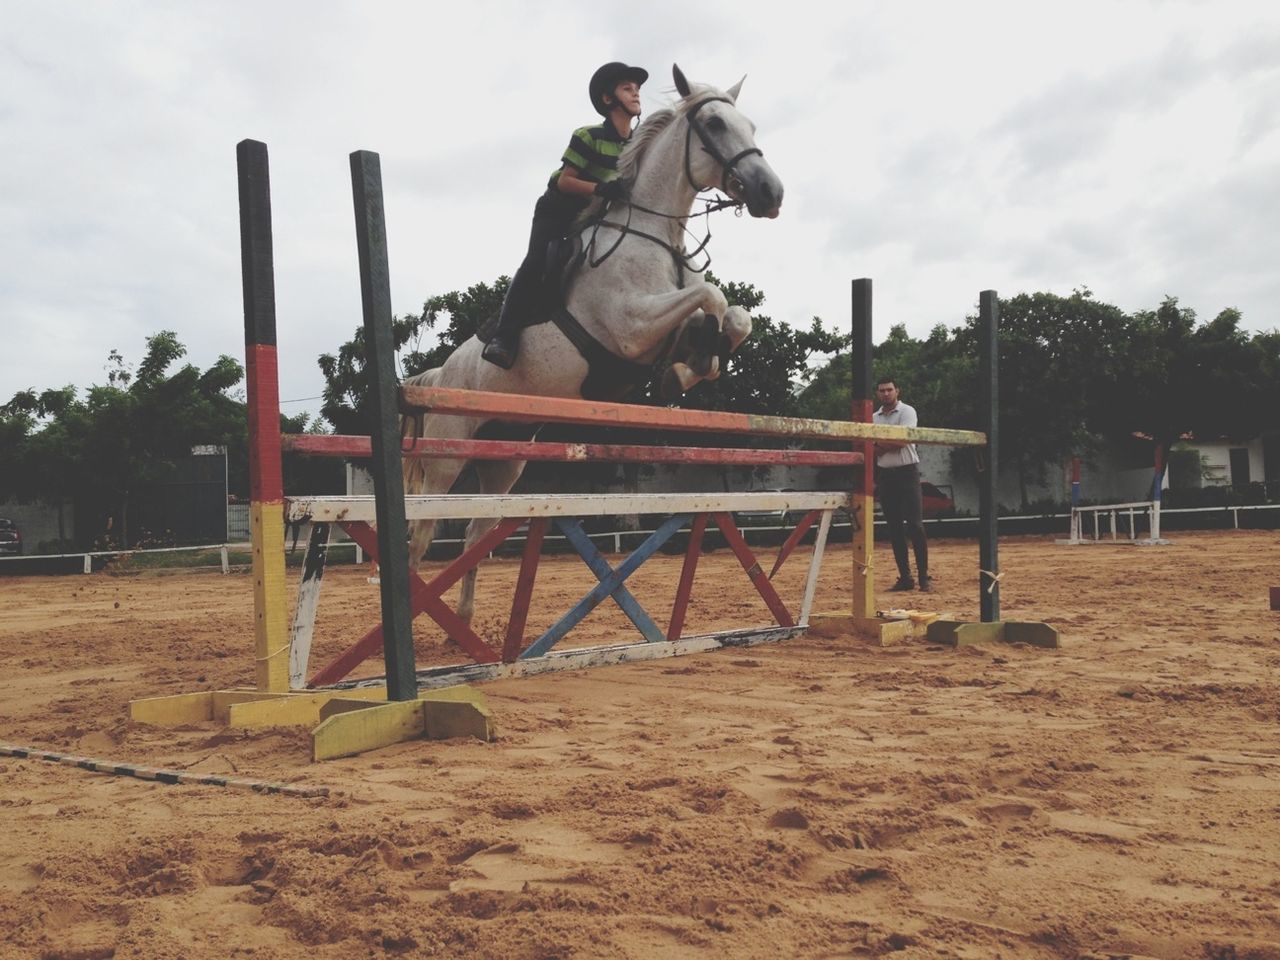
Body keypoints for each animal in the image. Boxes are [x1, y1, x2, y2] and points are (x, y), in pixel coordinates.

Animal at [401, 65, 778, 624]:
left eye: (750, 124)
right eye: (713, 123)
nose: (770, 193)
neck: (655, 234)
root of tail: (439, 375)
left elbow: (733, 314)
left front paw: (690, 366)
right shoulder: (630, 327)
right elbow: (710, 295)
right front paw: (688, 367)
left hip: (504, 460)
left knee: (474, 533)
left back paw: (464, 622)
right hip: (447, 458)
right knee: (421, 533)